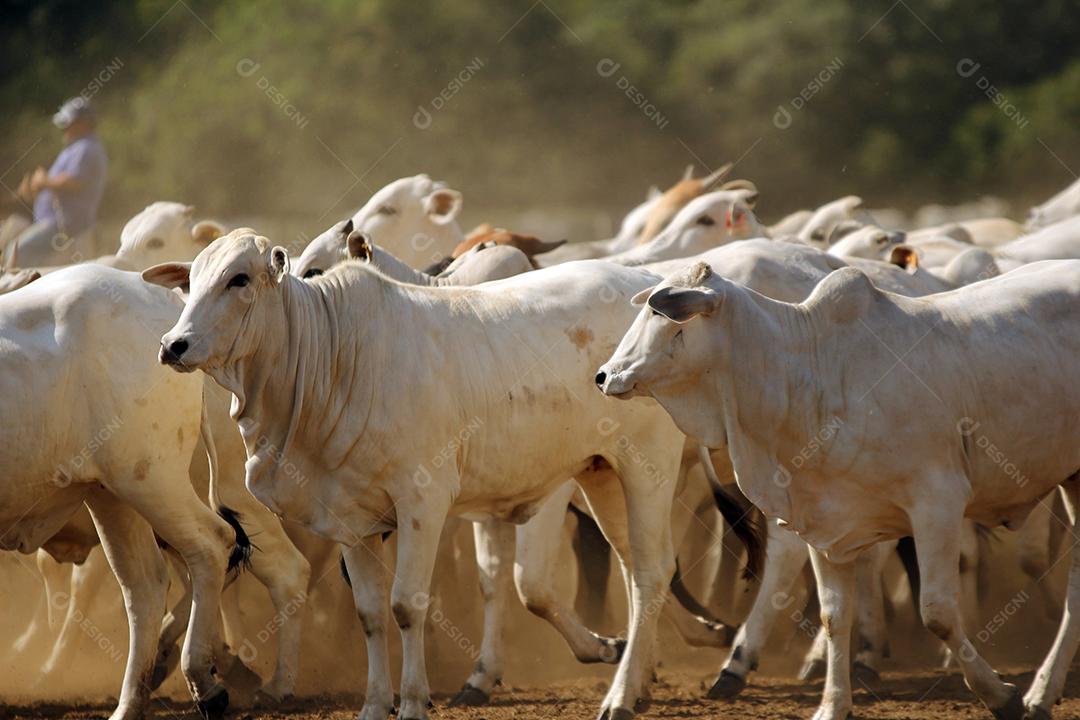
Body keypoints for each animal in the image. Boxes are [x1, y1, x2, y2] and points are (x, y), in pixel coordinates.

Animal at [0, 264, 247, 720]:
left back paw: (202, 681)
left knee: (211, 545)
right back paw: (131, 702)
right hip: (110, 494)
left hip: (150, 481)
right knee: (145, 586)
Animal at [600, 262, 1080, 720]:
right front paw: (832, 705)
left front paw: (1000, 696)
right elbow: (834, 616)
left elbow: (938, 614)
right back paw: (1043, 693)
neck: (815, 376)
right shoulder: (824, 521)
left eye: (659, 314)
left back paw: (1036, 693)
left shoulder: (938, 503)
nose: (603, 376)